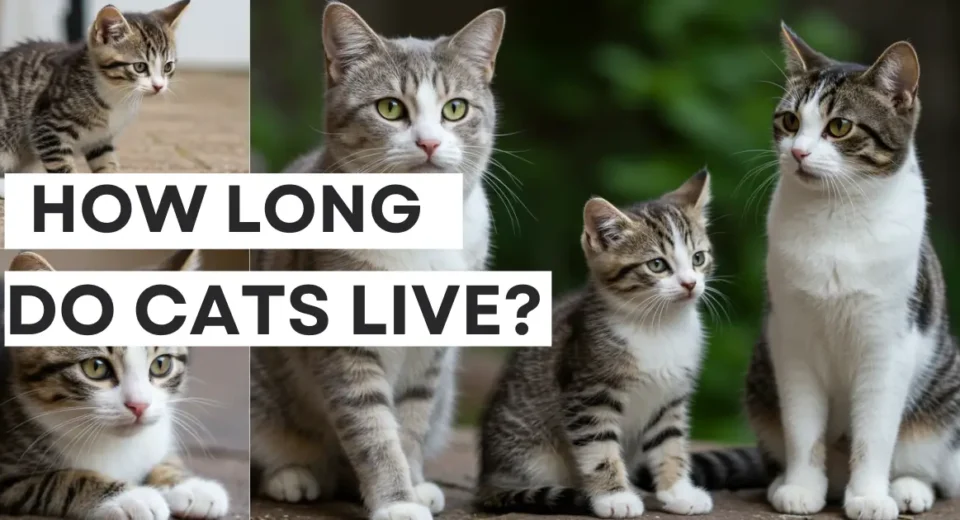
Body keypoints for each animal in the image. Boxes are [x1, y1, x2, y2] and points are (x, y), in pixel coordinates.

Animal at [0, 0, 189, 176]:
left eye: (167, 67)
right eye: (140, 67)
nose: (159, 86)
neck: (116, 94)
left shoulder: (100, 139)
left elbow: (106, 163)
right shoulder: (46, 127)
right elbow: (63, 169)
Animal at [0, 250, 231, 516]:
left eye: (161, 364)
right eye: (96, 367)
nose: (139, 406)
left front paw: (186, 483)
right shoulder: (8, 470)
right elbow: (61, 480)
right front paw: (132, 497)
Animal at [249, 3, 502, 520]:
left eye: (455, 108)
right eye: (390, 108)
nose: (429, 143)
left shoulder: (431, 352)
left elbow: (408, 421)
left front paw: (412, 485)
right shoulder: (344, 341)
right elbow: (372, 429)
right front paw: (397, 501)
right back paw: (292, 475)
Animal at [476, 171, 716, 516]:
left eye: (699, 258)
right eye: (657, 265)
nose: (690, 284)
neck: (660, 327)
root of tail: (487, 478)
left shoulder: (670, 397)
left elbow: (670, 442)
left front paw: (678, 491)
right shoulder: (588, 393)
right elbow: (598, 448)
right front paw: (614, 498)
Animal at [684, 25, 960, 520]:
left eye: (840, 126)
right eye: (790, 121)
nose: (797, 152)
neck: (835, 218)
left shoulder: (887, 344)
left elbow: (875, 433)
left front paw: (869, 496)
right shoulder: (790, 337)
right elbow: (802, 426)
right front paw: (800, 487)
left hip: (943, 392)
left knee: (928, 461)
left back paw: (908, 489)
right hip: (760, 379)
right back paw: (790, 482)